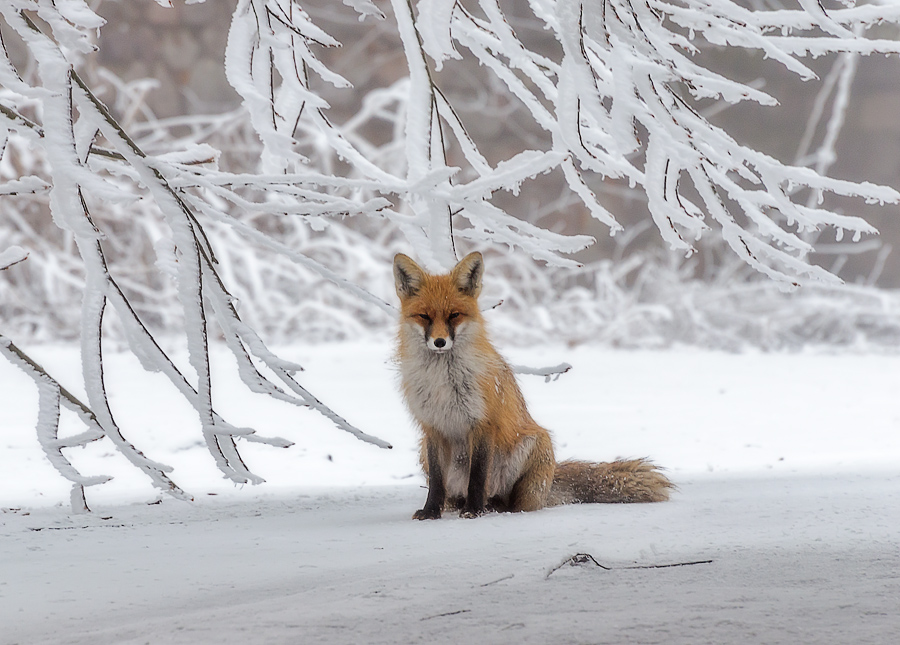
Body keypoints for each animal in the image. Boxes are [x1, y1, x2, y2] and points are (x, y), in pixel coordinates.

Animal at [396, 250, 676, 520]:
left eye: (454, 315)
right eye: (424, 316)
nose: (440, 342)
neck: (442, 381)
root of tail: (552, 477)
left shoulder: (483, 423)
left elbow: (477, 476)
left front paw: (473, 511)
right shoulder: (432, 428)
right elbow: (437, 482)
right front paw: (431, 512)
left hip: (534, 446)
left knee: (509, 501)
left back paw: (490, 507)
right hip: (424, 450)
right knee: (457, 494)